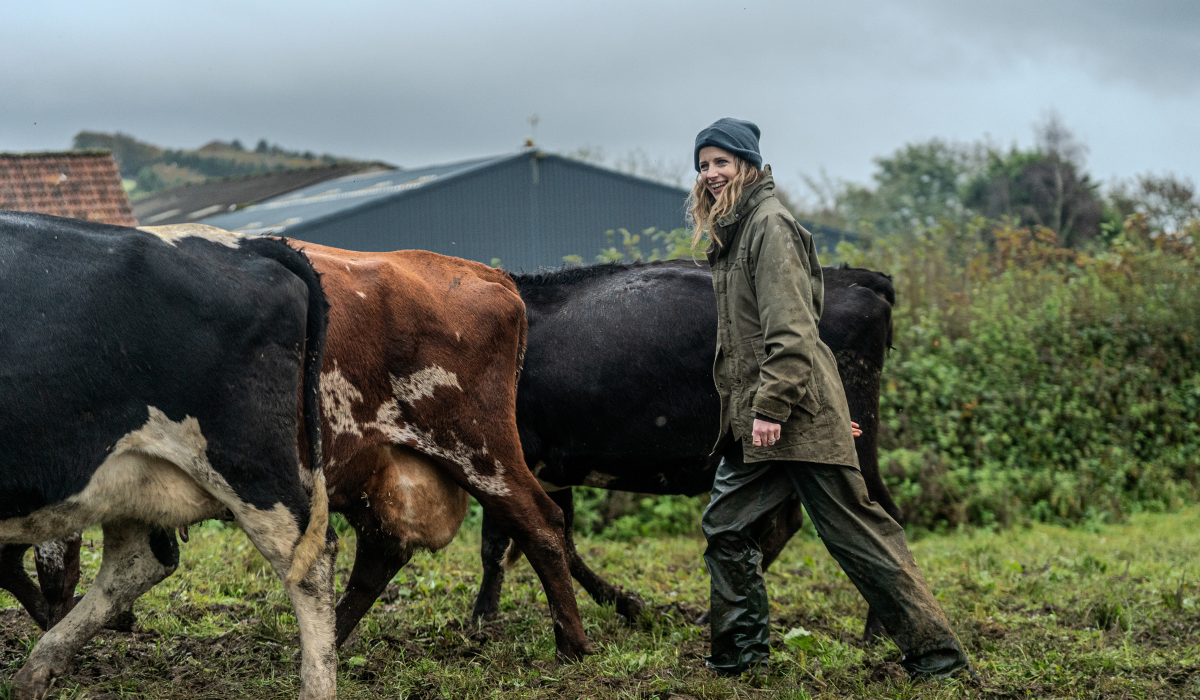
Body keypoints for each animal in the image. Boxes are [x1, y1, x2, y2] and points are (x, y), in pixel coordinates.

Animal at [2, 214, 338, 700]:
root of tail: (247, 243)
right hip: (128, 473)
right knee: (137, 562)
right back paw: (39, 667)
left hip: (247, 465)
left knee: (309, 561)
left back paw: (317, 688)